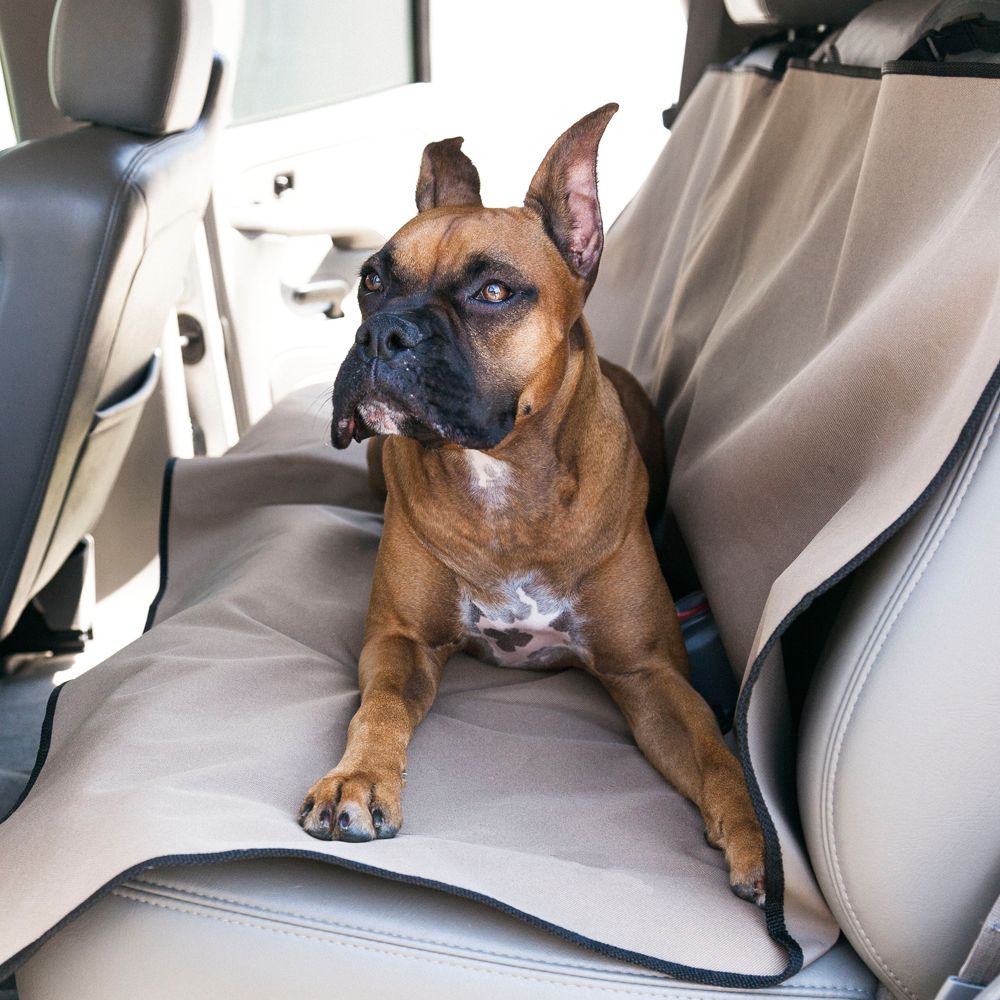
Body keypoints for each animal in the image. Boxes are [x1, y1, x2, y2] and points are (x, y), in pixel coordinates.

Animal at [296, 105, 764, 904]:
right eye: (371, 280)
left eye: (493, 292)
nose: (383, 332)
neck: (505, 480)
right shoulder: (401, 643)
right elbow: (378, 708)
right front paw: (356, 780)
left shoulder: (650, 677)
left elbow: (714, 754)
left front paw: (758, 841)